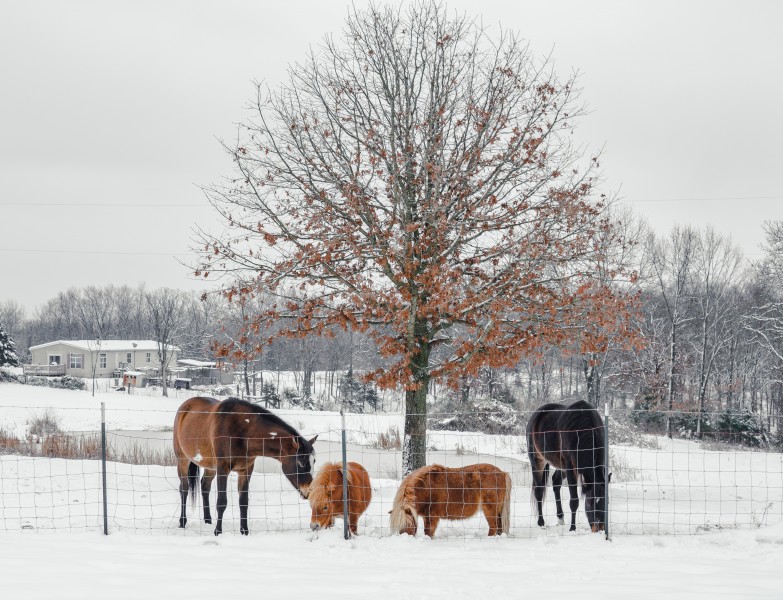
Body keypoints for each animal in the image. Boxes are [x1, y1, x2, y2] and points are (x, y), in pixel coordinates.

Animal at [173, 396, 316, 536]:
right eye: (301, 462)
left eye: (314, 461)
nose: (309, 491)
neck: (242, 431)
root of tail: (185, 406)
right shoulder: (223, 469)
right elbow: (221, 502)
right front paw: (218, 532)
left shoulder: (245, 470)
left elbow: (243, 502)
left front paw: (244, 531)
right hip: (183, 461)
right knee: (184, 489)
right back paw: (182, 522)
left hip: (210, 466)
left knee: (205, 486)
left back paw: (208, 521)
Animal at [528, 400, 612, 532]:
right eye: (589, 503)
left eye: (606, 502)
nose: (599, 528)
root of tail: (535, 415)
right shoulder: (570, 468)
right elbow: (574, 501)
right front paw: (572, 528)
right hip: (537, 461)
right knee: (539, 491)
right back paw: (541, 522)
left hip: (560, 466)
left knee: (556, 483)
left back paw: (560, 518)